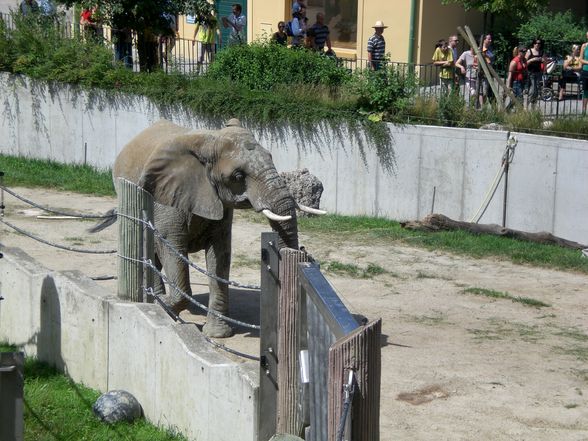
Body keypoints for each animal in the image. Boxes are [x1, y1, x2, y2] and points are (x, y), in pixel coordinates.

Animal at [94, 117, 324, 336]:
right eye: (238, 176)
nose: (303, 252)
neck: (209, 140)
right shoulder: (166, 196)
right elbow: (170, 244)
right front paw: (165, 307)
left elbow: (220, 255)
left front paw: (218, 334)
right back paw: (155, 299)